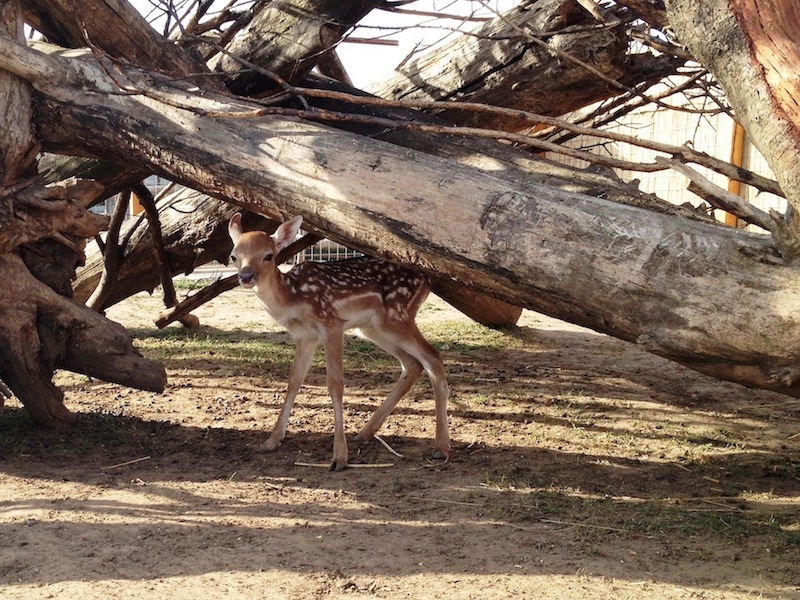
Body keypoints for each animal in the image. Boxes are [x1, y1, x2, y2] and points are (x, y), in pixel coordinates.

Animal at [227, 213, 450, 472]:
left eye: (269, 255)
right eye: (233, 256)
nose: (246, 276)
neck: (292, 298)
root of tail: (427, 280)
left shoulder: (331, 325)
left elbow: (335, 384)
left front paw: (339, 458)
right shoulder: (305, 335)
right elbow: (294, 381)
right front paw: (270, 441)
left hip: (397, 316)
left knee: (433, 357)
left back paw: (441, 447)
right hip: (374, 328)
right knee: (412, 363)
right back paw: (365, 432)